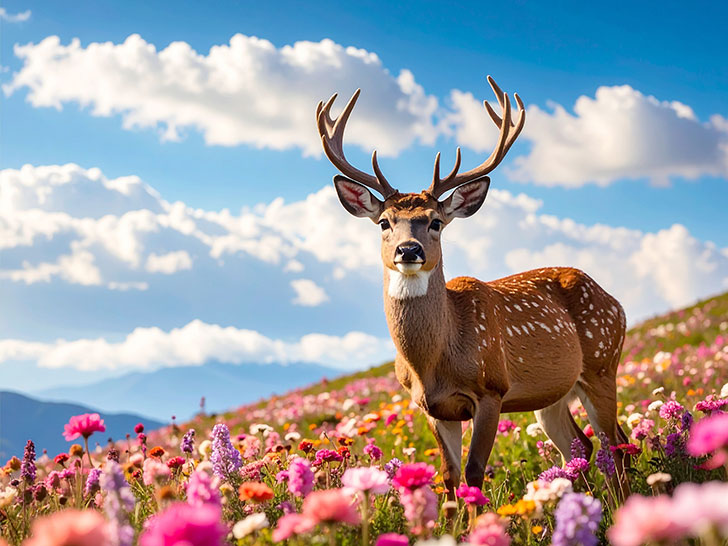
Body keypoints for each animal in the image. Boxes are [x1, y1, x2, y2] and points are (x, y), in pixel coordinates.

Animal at [316, 76, 631, 501]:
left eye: (435, 221)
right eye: (384, 222)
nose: (408, 250)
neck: (434, 361)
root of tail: (616, 303)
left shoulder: (491, 389)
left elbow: (474, 470)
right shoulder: (431, 407)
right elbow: (449, 475)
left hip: (602, 361)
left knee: (616, 443)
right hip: (553, 393)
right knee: (581, 445)